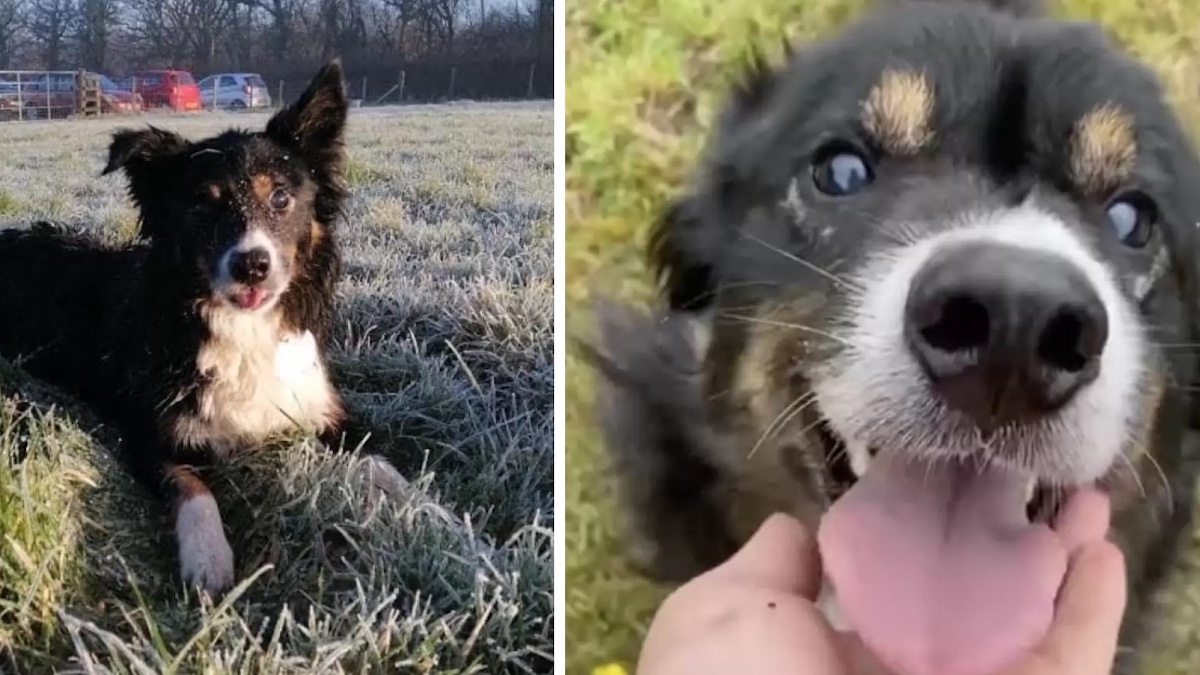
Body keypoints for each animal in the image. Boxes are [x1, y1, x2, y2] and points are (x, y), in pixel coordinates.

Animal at [0, 59, 405, 593]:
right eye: (201, 206)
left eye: (281, 197)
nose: (251, 265)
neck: (242, 327)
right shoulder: (152, 436)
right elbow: (195, 489)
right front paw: (207, 557)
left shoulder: (322, 408)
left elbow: (380, 458)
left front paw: (435, 518)